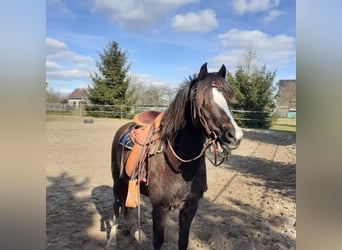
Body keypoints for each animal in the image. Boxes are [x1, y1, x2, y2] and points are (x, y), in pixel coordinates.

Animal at [109, 63, 243, 250]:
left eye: (229, 100)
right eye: (202, 101)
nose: (235, 136)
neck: (180, 161)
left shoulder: (190, 207)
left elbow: (183, 241)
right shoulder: (160, 208)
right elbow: (158, 241)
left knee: (129, 204)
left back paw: (133, 231)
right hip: (117, 181)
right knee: (116, 205)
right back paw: (112, 240)